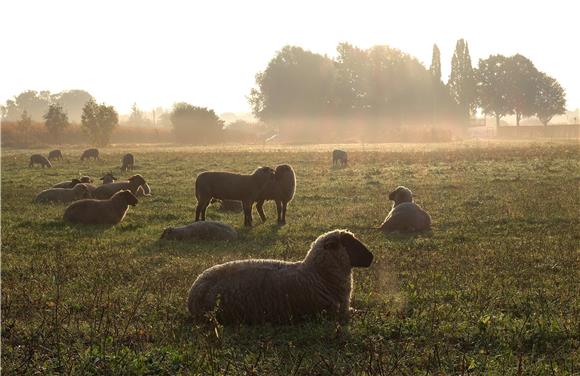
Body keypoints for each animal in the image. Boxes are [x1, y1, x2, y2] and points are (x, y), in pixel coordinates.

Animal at [188, 228, 374, 324]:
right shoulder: (332, 313)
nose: (371, 257)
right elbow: (361, 313)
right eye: (350, 243)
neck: (317, 275)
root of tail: (195, 287)